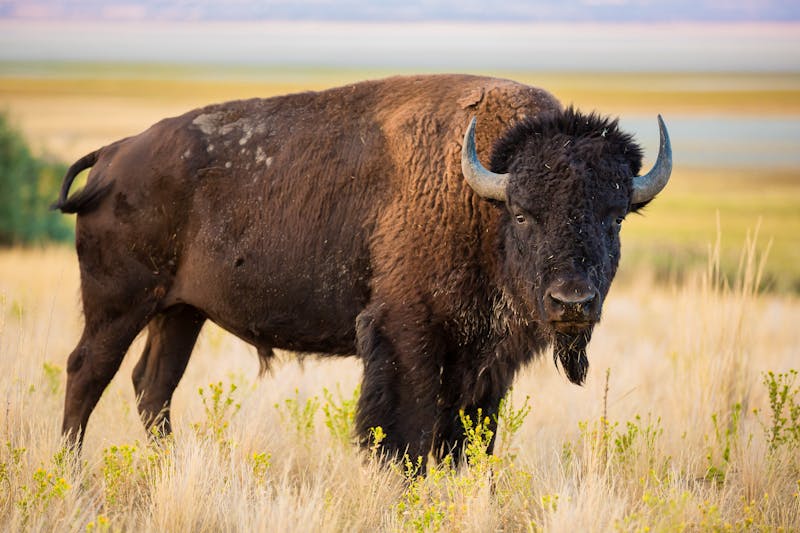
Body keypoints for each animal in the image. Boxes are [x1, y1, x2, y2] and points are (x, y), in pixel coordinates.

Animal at [54, 74, 671, 463]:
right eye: (523, 214)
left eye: (615, 217)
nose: (572, 302)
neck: (480, 196)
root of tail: (113, 155)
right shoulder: (407, 336)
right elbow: (407, 435)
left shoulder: (486, 362)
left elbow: (468, 440)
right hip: (119, 305)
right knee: (88, 372)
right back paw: (69, 470)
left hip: (180, 312)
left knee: (152, 386)